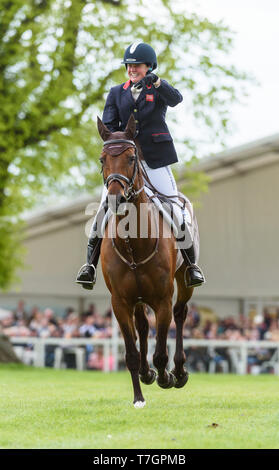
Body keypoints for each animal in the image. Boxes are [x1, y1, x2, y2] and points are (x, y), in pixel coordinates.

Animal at [98, 114, 195, 408]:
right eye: (102, 159)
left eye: (131, 158)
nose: (115, 199)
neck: (134, 244)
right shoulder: (120, 302)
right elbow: (130, 353)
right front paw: (138, 397)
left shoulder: (162, 300)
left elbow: (161, 349)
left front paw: (166, 377)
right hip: (136, 298)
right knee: (141, 325)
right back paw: (146, 373)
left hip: (183, 282)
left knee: (180, 313)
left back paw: (178, 371)